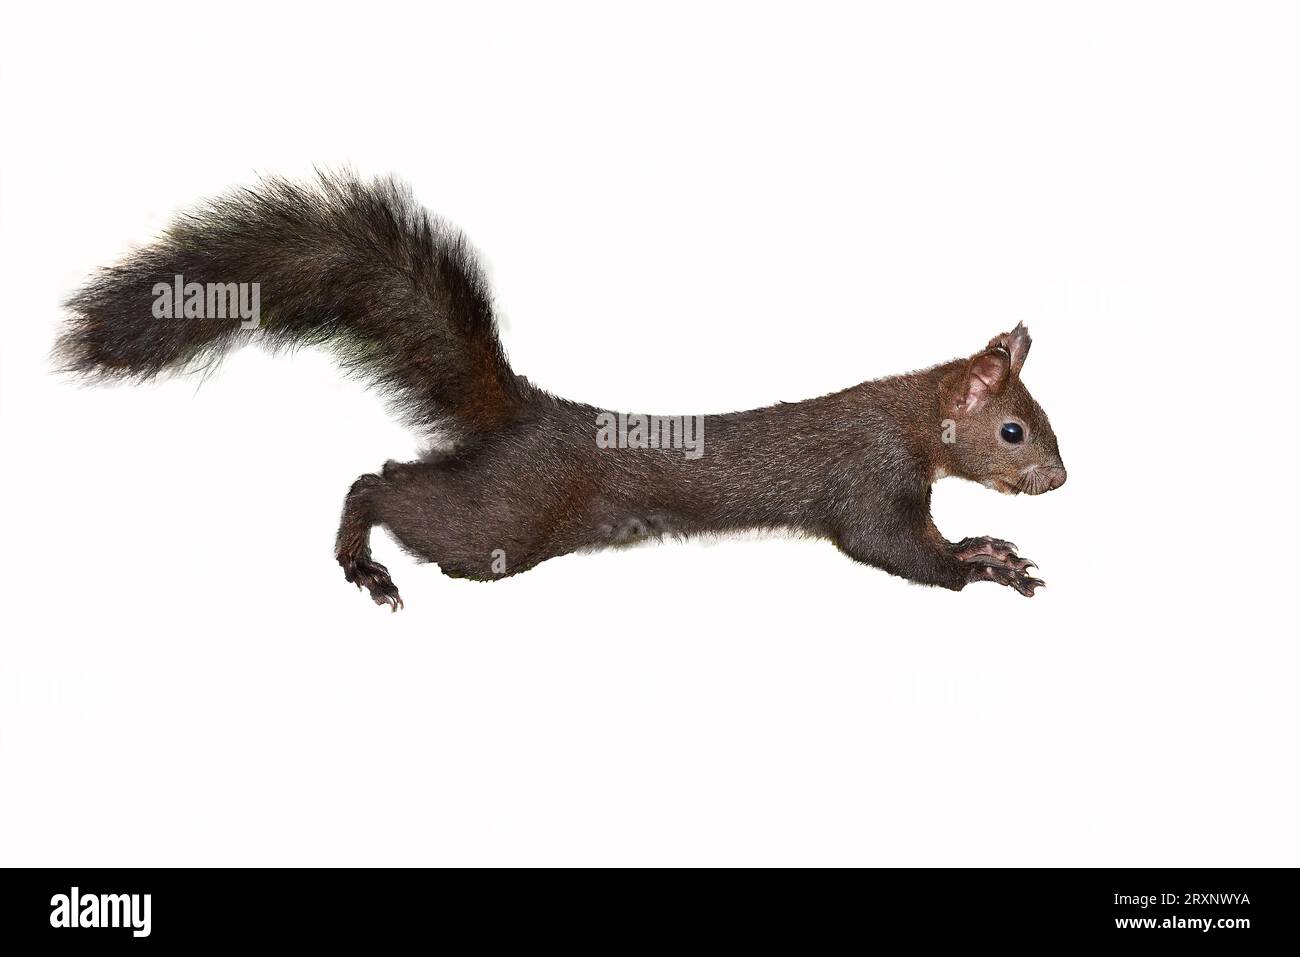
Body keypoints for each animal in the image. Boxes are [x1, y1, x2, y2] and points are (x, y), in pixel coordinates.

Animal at [57, 172, 1066, 610]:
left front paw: (990, 545)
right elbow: (894, 550)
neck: (907, 416)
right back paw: (363, 564)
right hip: (499, 526)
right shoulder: (866, 482)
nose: (1058, 480)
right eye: (1015, 430)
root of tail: (524, 412)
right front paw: (981, 565)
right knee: (382, 483)